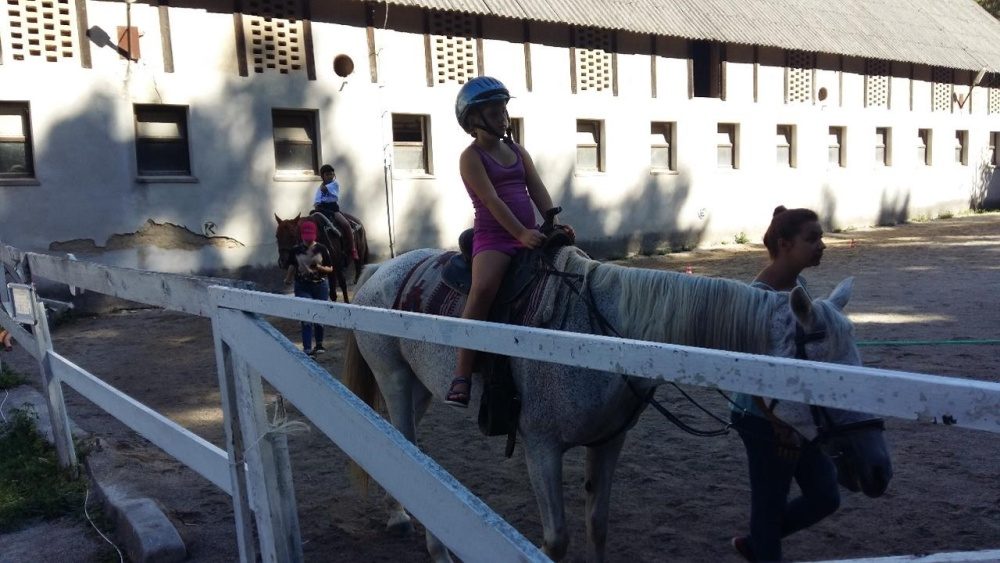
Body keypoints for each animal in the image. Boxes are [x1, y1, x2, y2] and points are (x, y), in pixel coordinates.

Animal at [343, 246, 892, 562]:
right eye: (829, 379)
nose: (879, 471)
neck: (601, 338)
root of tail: (380, 269)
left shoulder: (608, 442)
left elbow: (597, 525)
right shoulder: (540, 447)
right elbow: (556, 539)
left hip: (421, 387)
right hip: (395, 378)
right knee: (401, 441)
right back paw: (426, 538)